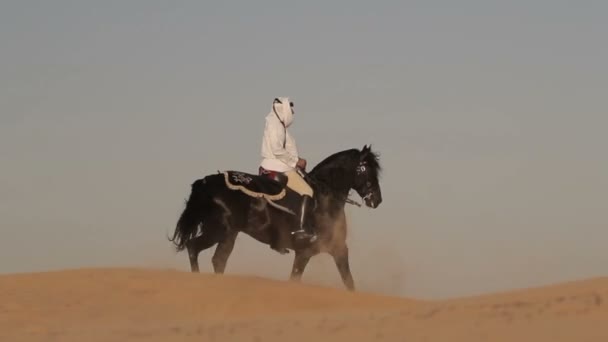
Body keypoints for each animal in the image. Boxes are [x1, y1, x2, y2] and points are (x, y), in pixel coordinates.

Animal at [169, 144, 382, 292]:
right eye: (366, 169)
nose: (377, 200)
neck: (324, 197)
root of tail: (207, 182)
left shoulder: (336, 249)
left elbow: (348, 281)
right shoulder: (307, 252)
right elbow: (297, 279)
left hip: (218, 231)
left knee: (194, 248)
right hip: (223, 232)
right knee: (216, 259)